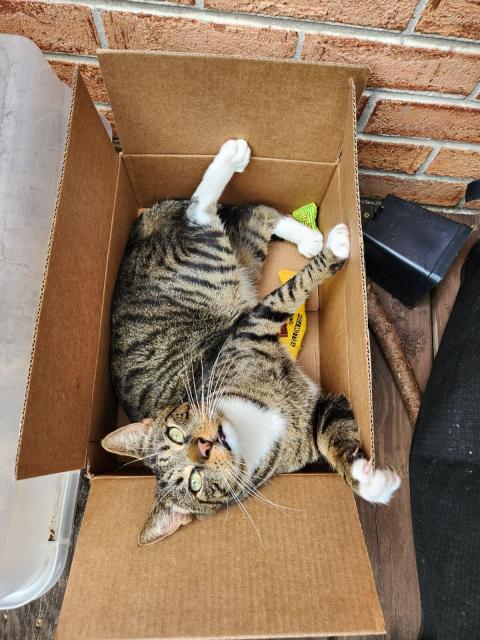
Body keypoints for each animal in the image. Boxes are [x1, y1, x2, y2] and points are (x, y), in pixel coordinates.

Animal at [102, 138, 402, 544]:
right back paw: (309, 234)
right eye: (194, 482)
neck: (251, 426)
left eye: (175, 433)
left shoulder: (252, 324)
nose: (204, 446)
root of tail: (140, 235)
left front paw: (334, 252)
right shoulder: (311, 417)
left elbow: (294, 288)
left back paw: (242, 165)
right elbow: (333, 438)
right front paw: (372, 484)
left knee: (208, 210)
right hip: (231, 268)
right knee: (244, 217)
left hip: (218, 270)